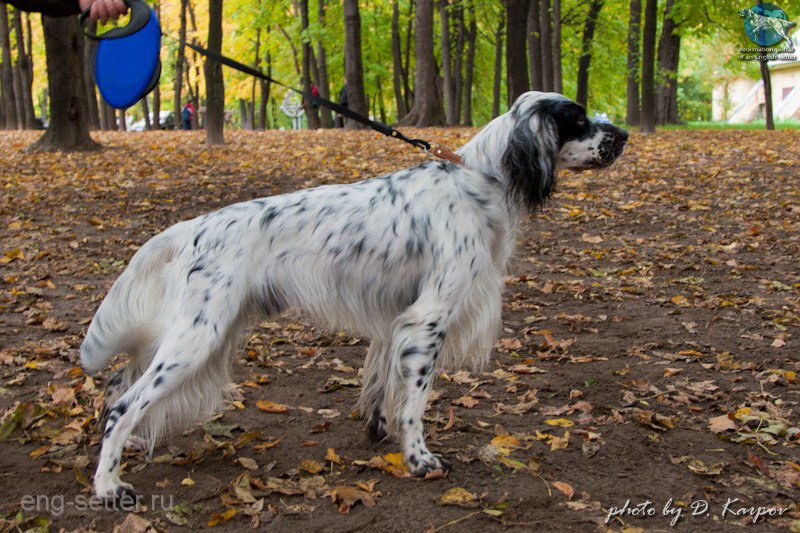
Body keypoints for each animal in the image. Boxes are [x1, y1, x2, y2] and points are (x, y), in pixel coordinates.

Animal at [80, 91, 628, 499]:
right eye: (579, 119)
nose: (624, 135)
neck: (481, 179)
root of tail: (194, 226)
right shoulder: (428, 319)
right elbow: (416, 400)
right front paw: (419, 459)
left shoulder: (395, 319)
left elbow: (384, 389)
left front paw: (380, 431)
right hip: (198, 337)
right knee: (124, 404)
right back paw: (107, 485)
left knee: (116, 390)